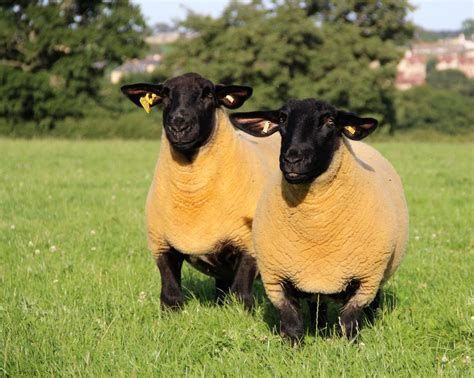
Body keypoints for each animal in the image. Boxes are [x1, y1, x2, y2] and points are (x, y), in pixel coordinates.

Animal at [120, 73, 280, 310]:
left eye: (208, 94)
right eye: (165, 94)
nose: (179, 125)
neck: (192, 195)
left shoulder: (248, 247)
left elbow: (241, 295)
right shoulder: (162, 245)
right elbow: (171, 296)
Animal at [230, 99, 408, 344]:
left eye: (330, 121)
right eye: (282, 118)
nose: (293, 159)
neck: (316, 225)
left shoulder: (365, 280)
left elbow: (348, 321)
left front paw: (350, 346)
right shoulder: (277, 279)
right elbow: (292, 322)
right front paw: (292, 348)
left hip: (377, 275)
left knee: (373, 303)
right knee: (318, 305)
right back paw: (320, 326)